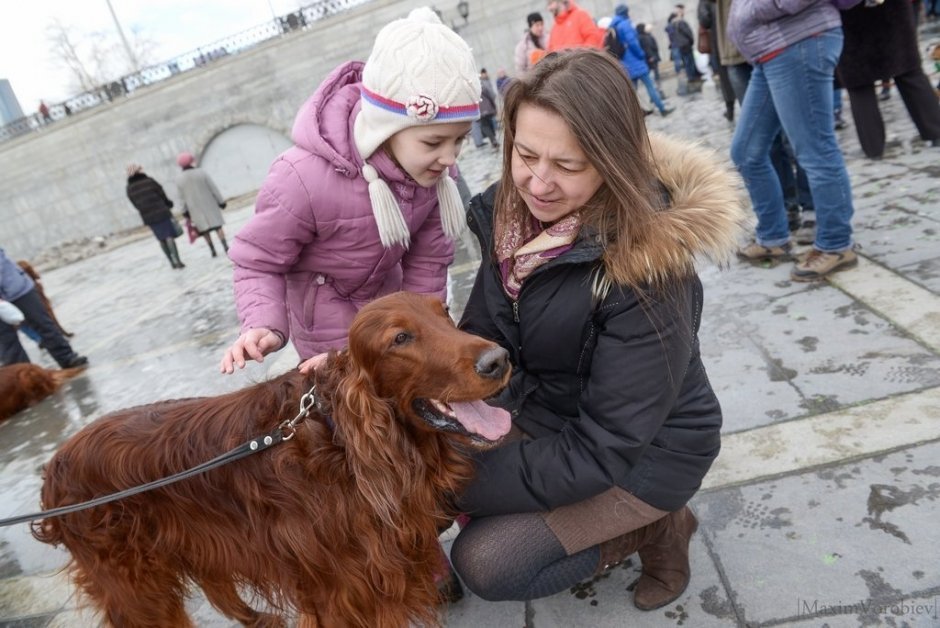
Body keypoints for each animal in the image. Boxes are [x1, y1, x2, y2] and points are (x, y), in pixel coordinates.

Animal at [31, 294, 506, 628]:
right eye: (400, 338)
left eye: (444, 312)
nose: (499, 360)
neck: (341, 441)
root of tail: (53, 469)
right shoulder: (343, 593)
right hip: (133, 584)